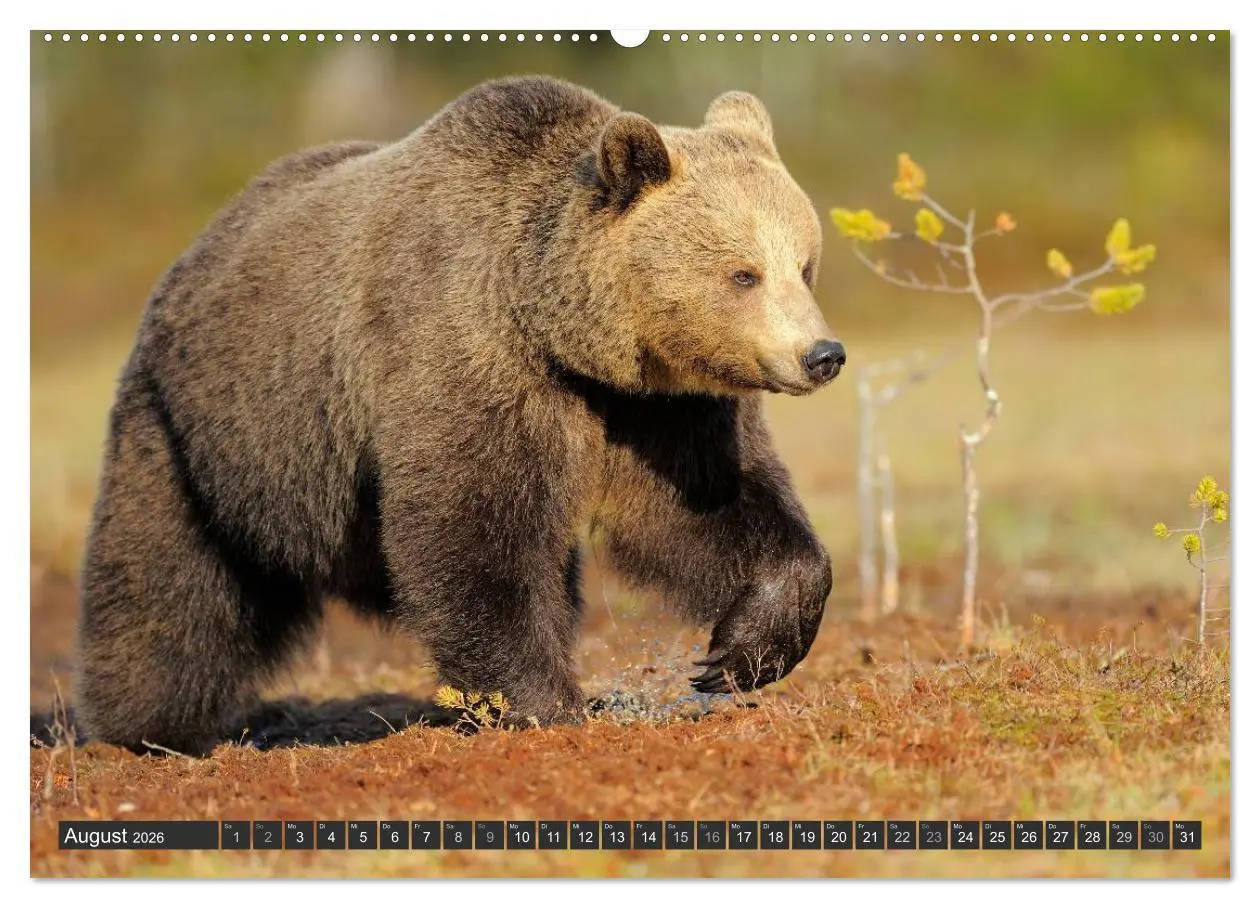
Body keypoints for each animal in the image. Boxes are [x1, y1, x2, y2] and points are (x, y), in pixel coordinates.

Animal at [75, 75, 846, 754]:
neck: (556, 327)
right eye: (743, 273)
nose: (822, 354)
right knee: (167, 589)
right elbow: (475, 526)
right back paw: (144, 729)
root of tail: (196, 250)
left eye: (805, 264)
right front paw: (547, 704)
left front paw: (737, 654)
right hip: (204, 430)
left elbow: (703, 507)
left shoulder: (651, 408)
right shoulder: (464, 348)